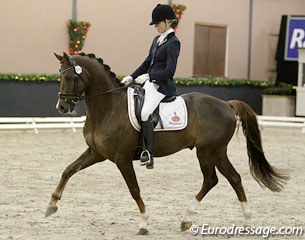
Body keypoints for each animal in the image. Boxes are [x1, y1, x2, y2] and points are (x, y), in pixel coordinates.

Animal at [45, 52, 288, 234]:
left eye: (70, 77)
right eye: (59, 75)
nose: (61, 107)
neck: (109, 107)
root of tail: (226, 104)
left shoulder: (122, 158)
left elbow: (134, 189)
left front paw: (144, 223)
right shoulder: (96, 153)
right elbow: (68, 170)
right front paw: (51, 205)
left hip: (206, 152)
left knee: (211, 180)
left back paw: (188, 217)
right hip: (218, 152)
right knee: (234, 178)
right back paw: (245, 221)